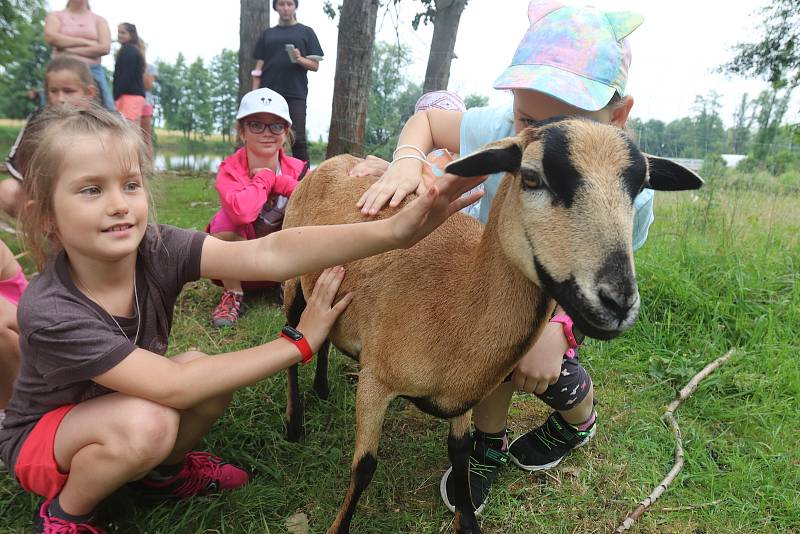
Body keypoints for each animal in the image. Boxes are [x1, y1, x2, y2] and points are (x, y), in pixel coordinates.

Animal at [280, 118, 700, 534]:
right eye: (531, 177)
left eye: (640, 187)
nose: (618, 303)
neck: (456, 300)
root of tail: (336, 160)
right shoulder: (375, 380)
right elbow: (364, 466)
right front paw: (339, 527)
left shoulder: (465, 393)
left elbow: (461, 452)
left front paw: (467, 521)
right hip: (292, 283)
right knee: (292, 339)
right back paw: (294, 425)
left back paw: (322, 388)